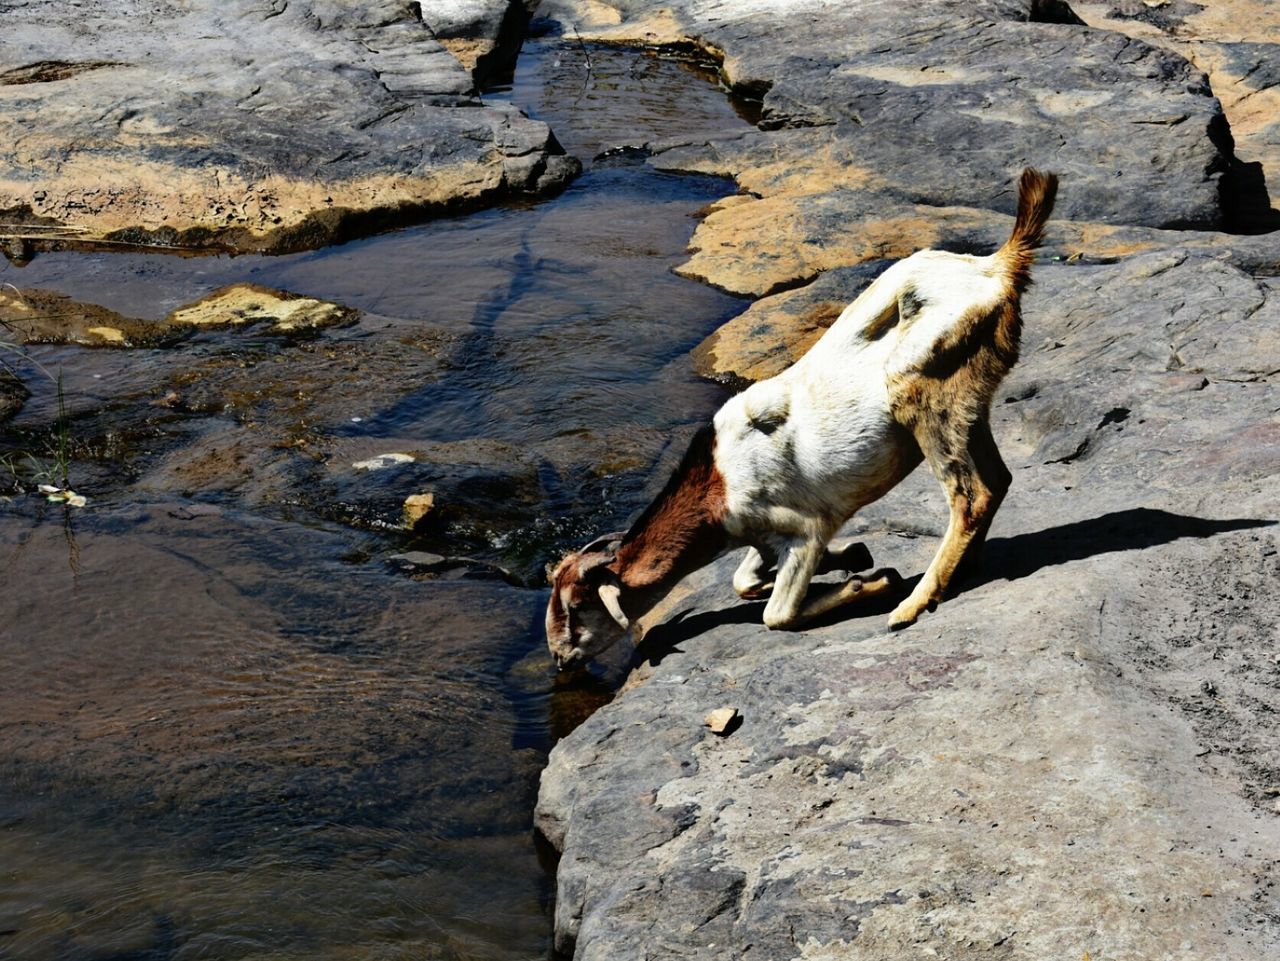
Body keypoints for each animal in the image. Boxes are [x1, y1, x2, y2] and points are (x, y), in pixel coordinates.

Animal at [550, 167, 1059, 670]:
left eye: (577, 607)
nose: (559, 657)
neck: (717, 481)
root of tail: (998, 266)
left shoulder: (804, 527)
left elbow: (777, 614)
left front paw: (870, 580)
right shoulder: (762, 537)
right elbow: (743, 581)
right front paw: (851, 555)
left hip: (929, 393)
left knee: (971, 495)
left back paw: (912, 604)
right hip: (969, 404)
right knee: (998, 480)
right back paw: (961, 568)